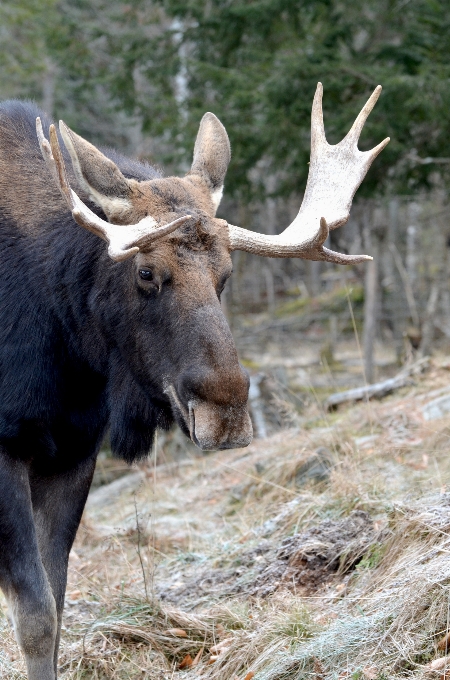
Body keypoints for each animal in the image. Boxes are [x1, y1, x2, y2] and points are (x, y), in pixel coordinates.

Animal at [0, 82, 386, 676]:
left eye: (225, 275)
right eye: (144, 272)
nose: (225, 414)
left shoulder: (74, 451)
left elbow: (57, 608)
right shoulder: (7, 447)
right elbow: (37, 618)